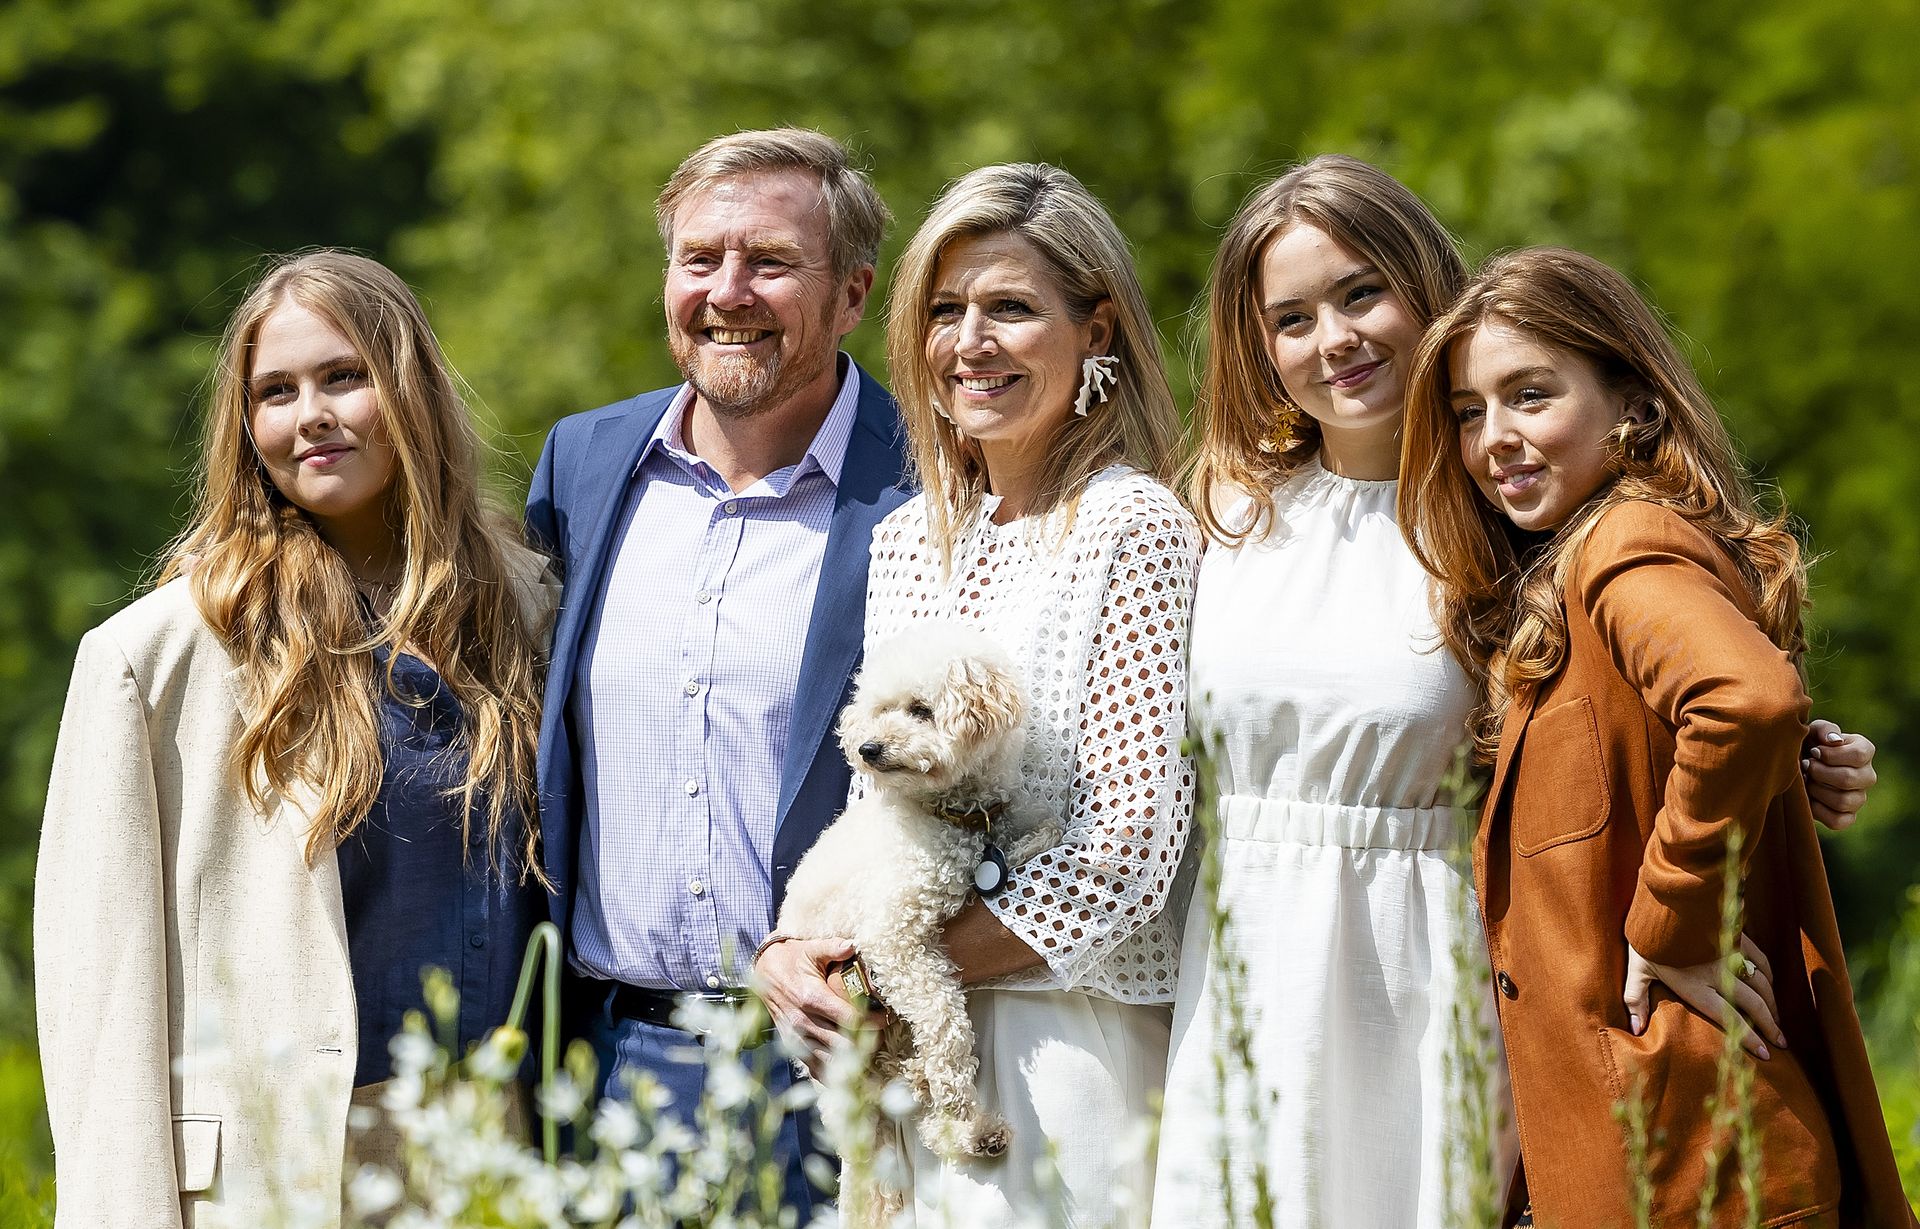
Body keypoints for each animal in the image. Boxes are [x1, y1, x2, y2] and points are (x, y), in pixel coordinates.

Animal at [768, 622, 1059, 1167]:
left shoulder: (1014, 815)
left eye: (921, 709)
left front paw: (1025, 847)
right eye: (879, 709)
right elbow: (944, 1020)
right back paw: (962, 1123)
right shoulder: (893, 938)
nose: (868, 749)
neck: (960, 817)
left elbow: (1048, 826)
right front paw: (961, 1112)